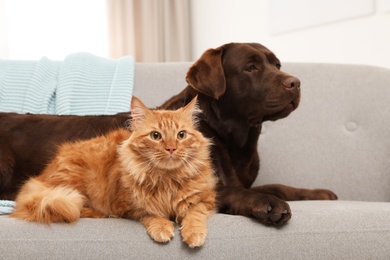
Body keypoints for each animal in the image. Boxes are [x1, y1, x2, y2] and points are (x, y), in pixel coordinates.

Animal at [0, 42, 336, 223]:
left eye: (277, 64)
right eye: (251, 67)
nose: (295, 82)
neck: (234, 140)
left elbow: (278, 185)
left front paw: (318, 193)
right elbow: (238, 192)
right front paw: (267, 204)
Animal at [11, 96, 216, 248]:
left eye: (181, 135)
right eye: (156, 136)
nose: (171, 148)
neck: (167, 179)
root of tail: (41, 176)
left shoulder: (207, 199)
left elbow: (194, 213)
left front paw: (194, 233)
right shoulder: (128, 206)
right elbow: (150, 214)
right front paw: (162, 227)